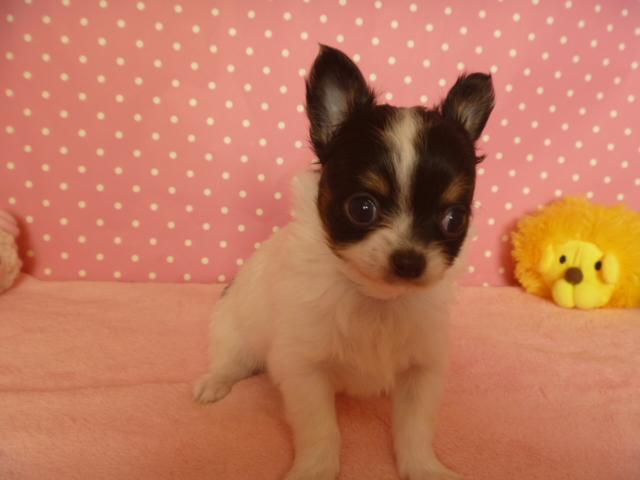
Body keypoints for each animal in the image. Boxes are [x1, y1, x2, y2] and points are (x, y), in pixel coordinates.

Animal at [194, 45, 494, 480]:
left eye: (453, 219)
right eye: (362, 208)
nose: (409, 261)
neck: (376, 300)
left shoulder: (422, 370)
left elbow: (416, 428)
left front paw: (424, 468)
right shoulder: (305, 370)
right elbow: (320, 430)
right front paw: (314, 470)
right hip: (235, 331)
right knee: (231, 361)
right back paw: (213, 384)